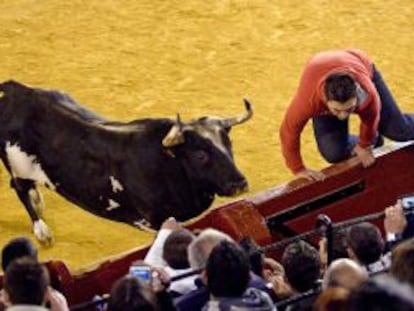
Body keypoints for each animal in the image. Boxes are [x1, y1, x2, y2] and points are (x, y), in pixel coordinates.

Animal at [0, 81, 252, 246]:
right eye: (200, 155)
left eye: (229, 143)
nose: (239, 183)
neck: (168, 163)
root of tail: (12, 90)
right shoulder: (157, 220)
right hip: (18, 167)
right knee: (20, 189)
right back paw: (42, 231)